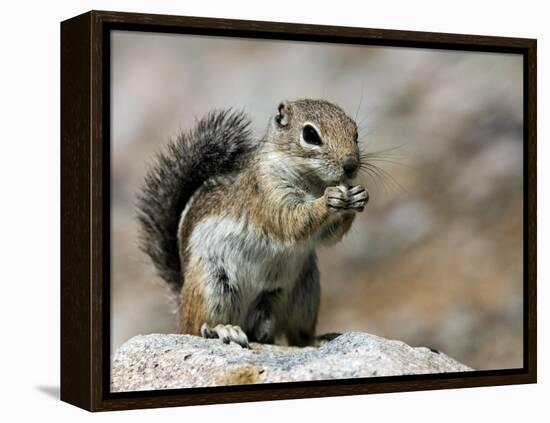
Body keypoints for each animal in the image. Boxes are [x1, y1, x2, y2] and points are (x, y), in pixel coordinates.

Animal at [138, 98, 370, 348]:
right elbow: (291, 221)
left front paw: (358, 196)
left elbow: (328, 237)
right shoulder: (267, 192)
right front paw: (328, 200)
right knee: (195, 327)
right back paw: (223, 329)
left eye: (355, 132)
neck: (312, 182)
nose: (351, 165)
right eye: (310, 134)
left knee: (296, 336)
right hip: (212, 286)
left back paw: (315, 339)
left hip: (304, 293)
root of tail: (181, 297)